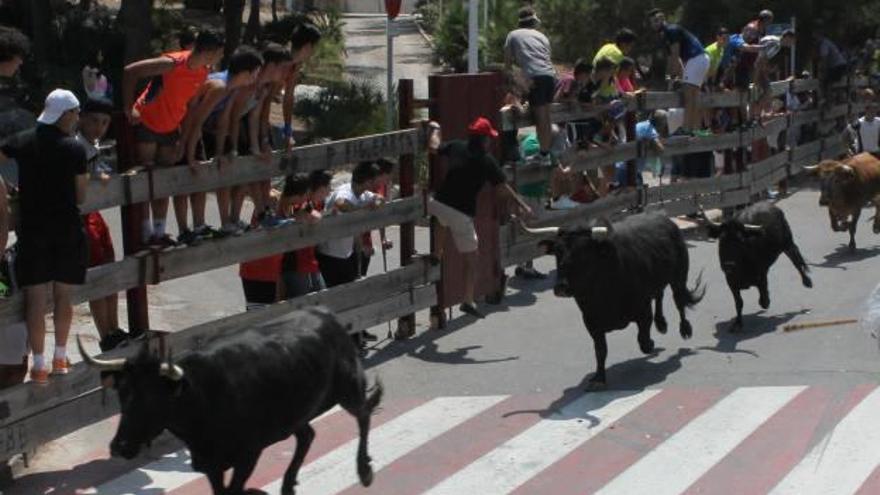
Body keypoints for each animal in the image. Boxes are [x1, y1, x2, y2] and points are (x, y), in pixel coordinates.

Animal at [81, 308, 384, 494]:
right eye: (122, 393)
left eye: (154, 397)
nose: (119, 447)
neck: (200, 399)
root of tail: (325, 314)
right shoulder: (210, 465)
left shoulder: (247, 455)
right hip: (294, 411)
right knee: (307, 435)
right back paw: (288, 485)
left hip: (347, 387)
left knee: (364, 414)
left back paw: (365, 470)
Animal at [524, 215, 708, 390]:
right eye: (557, 252)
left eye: (583, 252)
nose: (561, 287)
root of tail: (665, 219)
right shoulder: (591, 321)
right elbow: (600, 350)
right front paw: (599, 379)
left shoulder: (643, 310)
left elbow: (643, 341)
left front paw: (652, 344)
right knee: (659, 294)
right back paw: (661, 324)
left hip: (679, 276)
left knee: (679, 301)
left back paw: (684, 330)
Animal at [704, 202, 816, 334]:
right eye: (722, 239)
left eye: (740, 239)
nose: (729, 265)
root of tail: (773, 207)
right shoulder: (731, 281)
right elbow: (739, 303)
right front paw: (738, 323)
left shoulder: (762, 275)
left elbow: (763, 300)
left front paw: (766, 301)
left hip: (787, 243)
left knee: (796, 259)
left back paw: (807, 282)